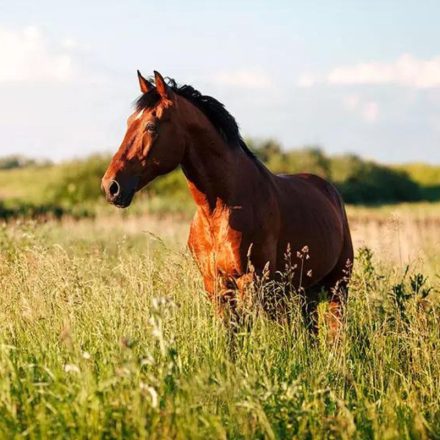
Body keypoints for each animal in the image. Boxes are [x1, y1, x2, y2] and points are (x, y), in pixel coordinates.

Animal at [102, 70, 354, 336]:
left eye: (150, 126)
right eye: (129, 122)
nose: (111, 186)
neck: (221, 209)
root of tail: (329, 190)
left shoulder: (252, 282)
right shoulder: (215, 285)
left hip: (337, 286)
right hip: (305, 291)